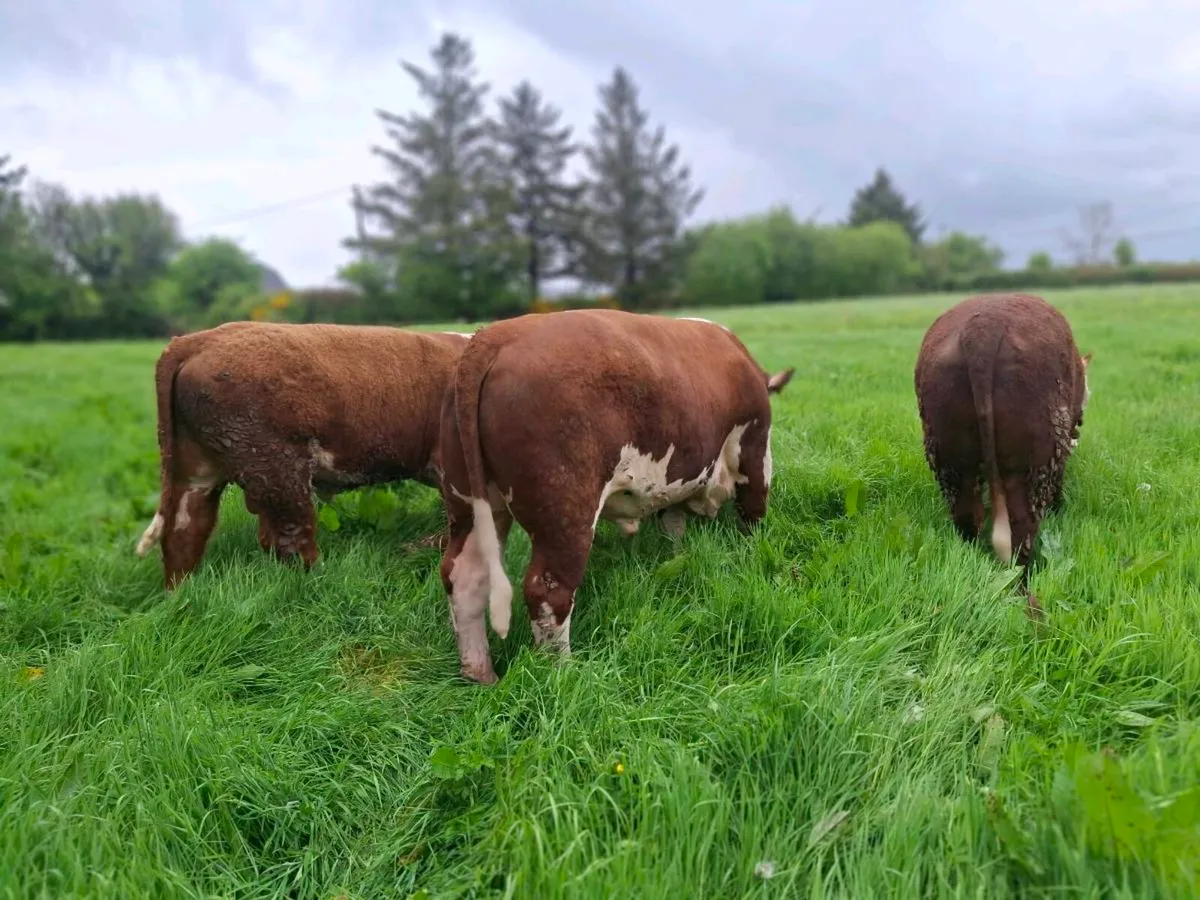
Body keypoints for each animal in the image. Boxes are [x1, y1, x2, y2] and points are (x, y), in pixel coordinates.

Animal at [135, 320, 472, 588]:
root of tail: (200, 338)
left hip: (198, 469)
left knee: (185, 528)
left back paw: (180, 595)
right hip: (280, 470)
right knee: (289, 538)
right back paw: (320, 582)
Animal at [435, 308, 794, 683]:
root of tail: (494, 337)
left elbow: (673, 523)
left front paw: (677, 554)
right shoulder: (753, 446)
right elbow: (752, 513)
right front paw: (752, 553)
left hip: (470, 504)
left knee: (464, 578)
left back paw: (479, 673)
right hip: (565, 512)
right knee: (548, 590)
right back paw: (563, 672)